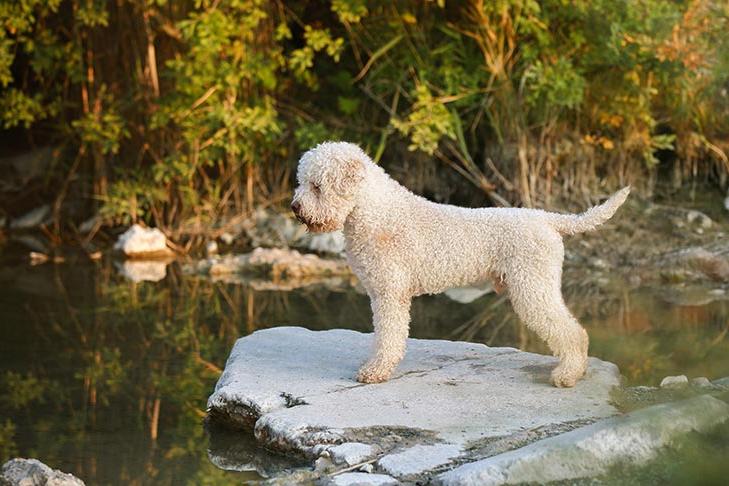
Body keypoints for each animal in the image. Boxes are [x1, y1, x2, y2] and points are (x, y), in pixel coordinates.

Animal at [288, 140, 624, 388]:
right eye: (302, 182)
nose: (294, 207)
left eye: (317, 186)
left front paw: (375, 372)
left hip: (533, 287)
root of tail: (548, 219)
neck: (376, 214)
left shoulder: (389, 294)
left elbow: (388, 337)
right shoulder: (384, 293)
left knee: (573, 332)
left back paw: (568, 375)